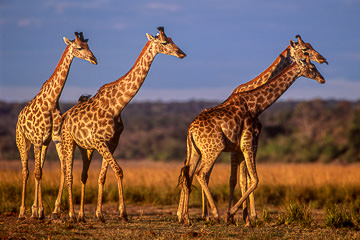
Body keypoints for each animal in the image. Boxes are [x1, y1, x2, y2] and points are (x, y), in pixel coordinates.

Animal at [15, 32, 97, 220]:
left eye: (88, 46)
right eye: (79, 47)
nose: (94, 59)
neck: (51, 100)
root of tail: (19, 117)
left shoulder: (54, 138)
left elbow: (59, 170)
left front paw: (42, 210)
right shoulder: (38, 139)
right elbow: (37, 172)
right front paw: (37, 212)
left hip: (43, 143)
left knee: (40, 169)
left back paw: (36, 209)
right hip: (23, 140)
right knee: (26, 171)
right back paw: (23, 212)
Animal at [58, 26, 186, 221]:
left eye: (172, 39)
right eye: (164, 42)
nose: (181, 53)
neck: (117, 106)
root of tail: (66, 115)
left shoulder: (111, 142)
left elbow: (103, 176)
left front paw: (100, 214)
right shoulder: (100, 141)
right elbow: (119, 170)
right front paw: (123, 213)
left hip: (85, 148)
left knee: (83, 174)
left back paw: (81, 215)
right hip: (68, 141)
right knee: (69, 174)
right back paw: (72, 215)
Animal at [177, 35, 326, 225]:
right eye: (311, 65)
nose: (322, 77)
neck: (257, 105)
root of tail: (190, 130)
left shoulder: (239, 147)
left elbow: (241, 180)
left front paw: (242, 216)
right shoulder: (249, 143)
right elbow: (251, 180)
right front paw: (240, 215)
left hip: (196, 151)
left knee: (188, 174)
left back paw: (186, 217)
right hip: (214, 149)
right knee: (201, 174)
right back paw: (213, 214)